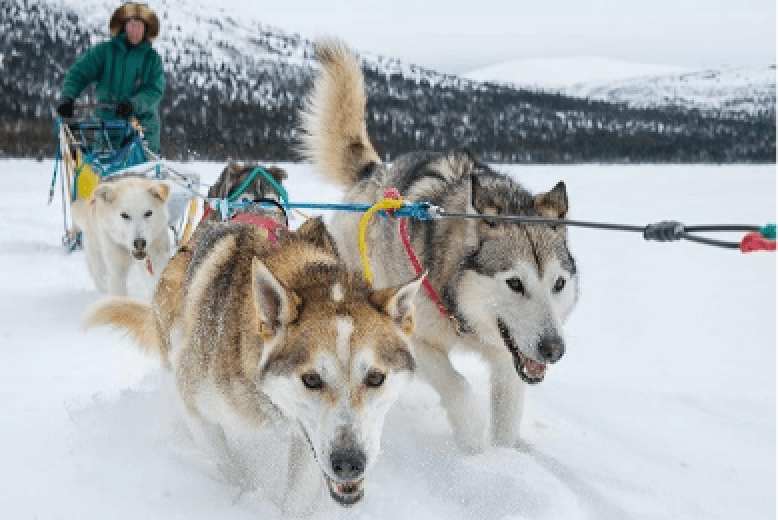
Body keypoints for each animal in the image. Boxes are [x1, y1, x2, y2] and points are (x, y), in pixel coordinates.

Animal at [84, 217, 422, 512]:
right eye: (311, 379)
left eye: (376, 378)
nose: (349, 463)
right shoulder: (198, 409)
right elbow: (231, 471)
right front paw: (243, 499)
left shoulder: (307, 437)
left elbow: (297, 496)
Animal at [298, 40, 576, 452]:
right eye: (514, 283)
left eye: (558, 283)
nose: (553, 349)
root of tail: (375, 173)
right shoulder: (417, 340)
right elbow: (457, 386)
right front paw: (473, 445)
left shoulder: (508, 358)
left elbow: (507, 418)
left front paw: (504, 457)